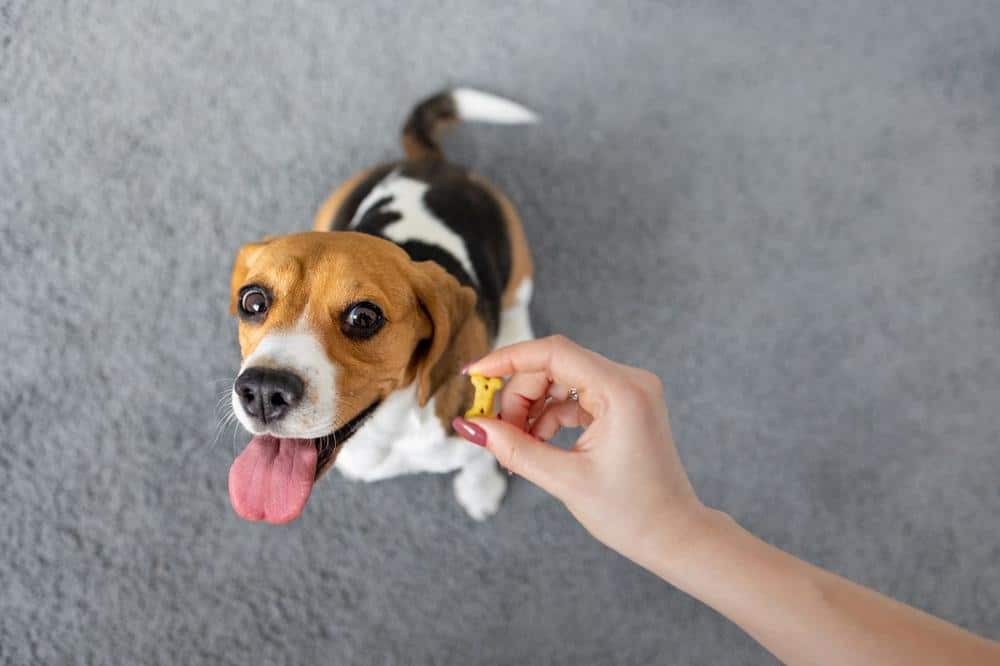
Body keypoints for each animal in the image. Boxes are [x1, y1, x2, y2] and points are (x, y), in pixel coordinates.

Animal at [229, 89, 540, 524]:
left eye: (363, 317)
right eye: (253, 301)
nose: (262, 391)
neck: (389, 426)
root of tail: (429, 162)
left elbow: (480, 459)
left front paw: (481, 491)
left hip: (518, 264)